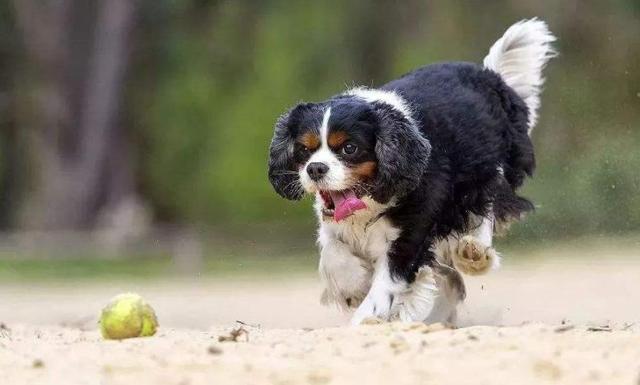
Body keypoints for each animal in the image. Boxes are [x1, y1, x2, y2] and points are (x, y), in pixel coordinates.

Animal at [266, 18, 556, 324]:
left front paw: (364, 320)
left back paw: (474, 253)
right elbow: (333, 250)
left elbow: (383, 290)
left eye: (349, 148)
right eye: (304, 149)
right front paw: (353, 285)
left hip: (484, 175)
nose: (315, 168)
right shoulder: (335, 224)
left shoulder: (408, 238)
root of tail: (491, 76)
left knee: (485, 208)